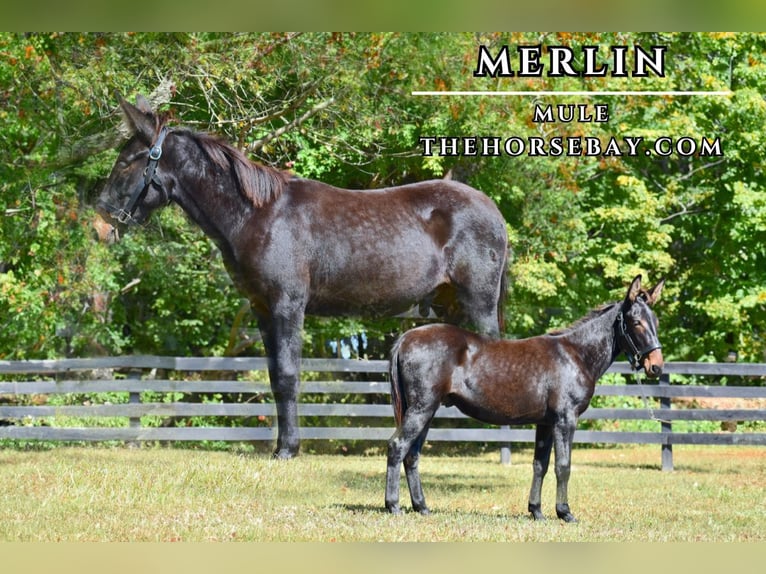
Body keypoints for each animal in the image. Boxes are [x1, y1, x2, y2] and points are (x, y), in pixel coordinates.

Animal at [388, 276, 664, 524]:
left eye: (656, 322)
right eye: (636, 322)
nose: (656, 366)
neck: (575, 354)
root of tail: (405, 338)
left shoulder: (545, 423)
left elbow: (540, 465)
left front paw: (537, 511)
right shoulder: (565, 420)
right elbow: (563, 465)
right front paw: (565, 513)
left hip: (427, 412)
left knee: (412, 455)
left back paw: (422, 507)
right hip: (421, 409)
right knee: (397, 446)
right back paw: (393, 506)